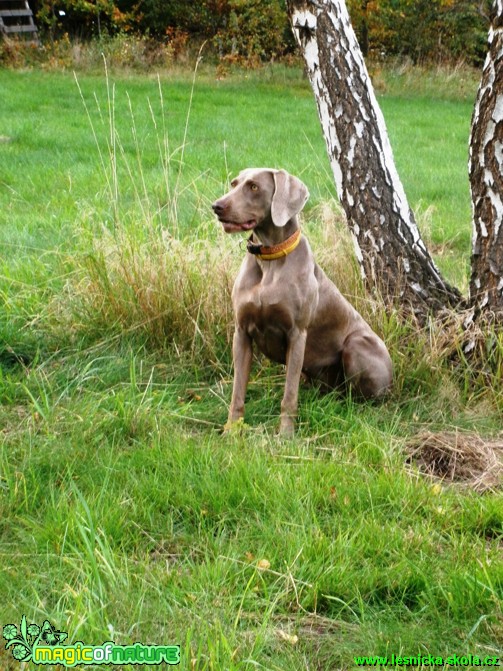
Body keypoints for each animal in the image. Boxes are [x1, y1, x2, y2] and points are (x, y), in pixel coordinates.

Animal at [213, 167, 394, 436]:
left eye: (253, 187)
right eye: (234, 184)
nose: (217, 206)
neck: (270, 258)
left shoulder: (296, 334)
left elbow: (289, 394)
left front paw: (285, 435)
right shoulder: (241, 332)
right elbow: (238, 391)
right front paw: (231, 430)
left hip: (357, 345)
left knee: (367, 398)